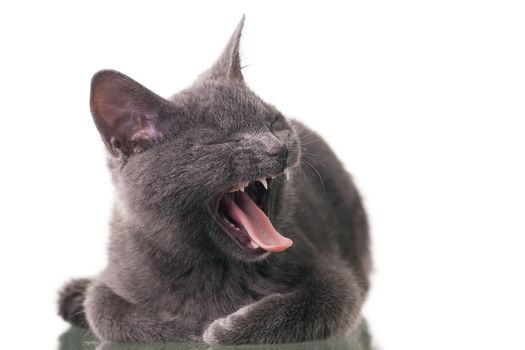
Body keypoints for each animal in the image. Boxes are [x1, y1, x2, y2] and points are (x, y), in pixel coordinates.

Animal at [58, 17, 368, 344]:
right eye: (223, 141)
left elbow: (319, 303)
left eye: (273, 123)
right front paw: (188, 329)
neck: (216, 268)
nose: (278, 147)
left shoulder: (334, 274)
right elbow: (106, 310)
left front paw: (227, 329)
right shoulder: (115, 276)